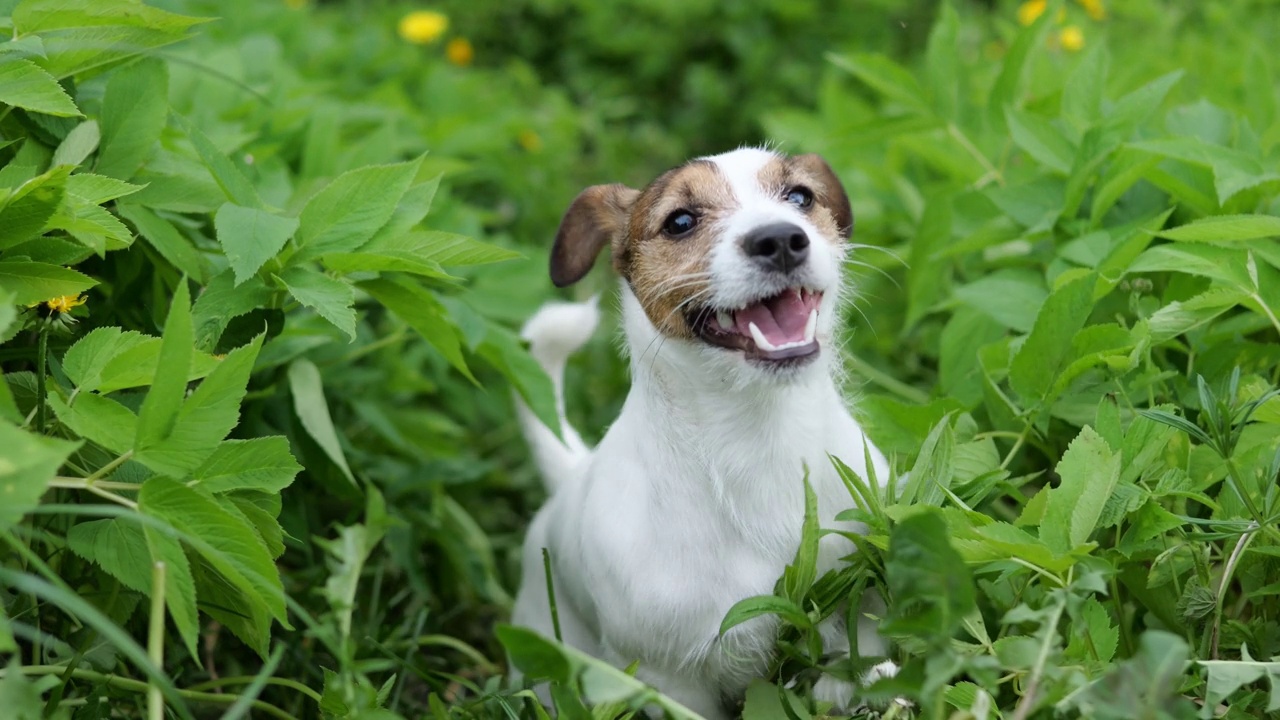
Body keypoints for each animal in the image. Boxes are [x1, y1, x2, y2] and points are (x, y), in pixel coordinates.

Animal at [506, 147, 890, 717]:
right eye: (680, 222)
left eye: (800, 197)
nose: (780, 239)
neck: (757, 437)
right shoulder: (667, 681)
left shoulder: (865, 612)